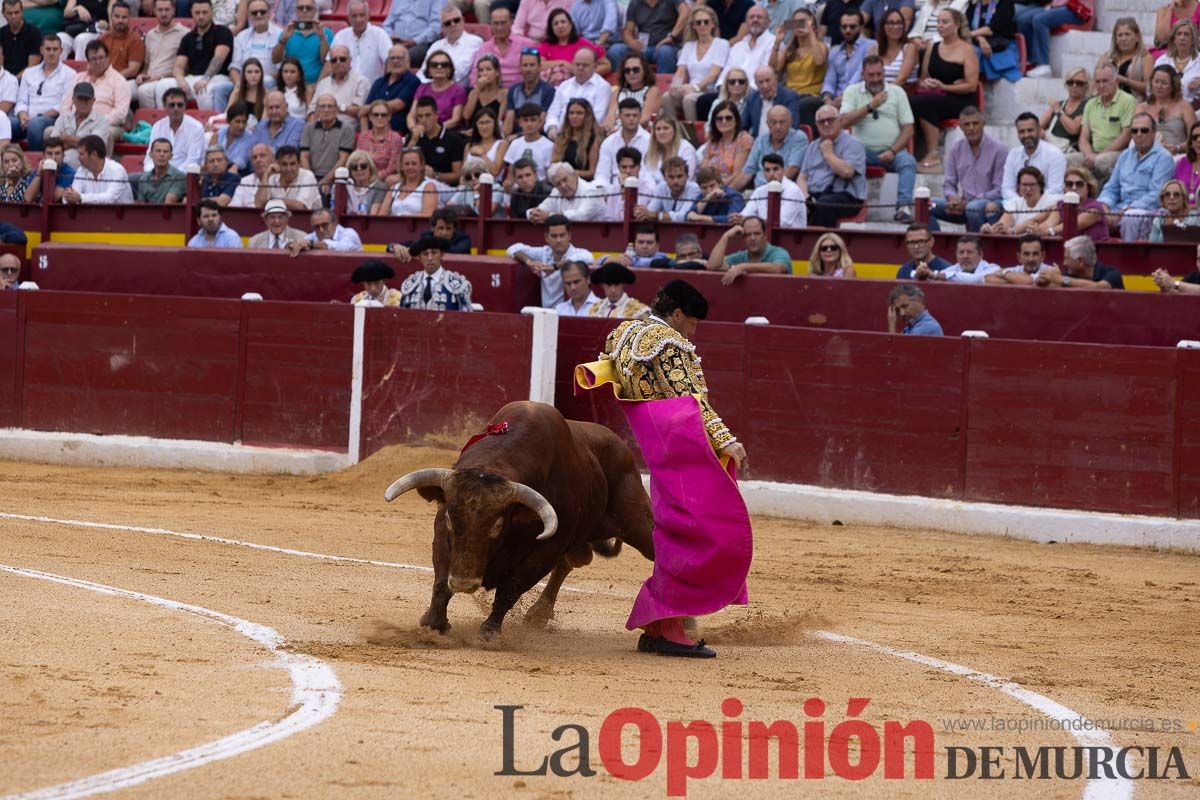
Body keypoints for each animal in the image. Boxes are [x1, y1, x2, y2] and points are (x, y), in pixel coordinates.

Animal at [384, 400, 652, 638]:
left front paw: (489, 632)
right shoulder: (442, 532)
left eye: (498, 525)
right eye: (451, 518)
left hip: (638, 524)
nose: (463, 584)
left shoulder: (548, 549)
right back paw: (539, 613)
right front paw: (433, 623)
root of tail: (621, 447)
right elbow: (441, 581)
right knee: (570, 562)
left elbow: (511, 588)